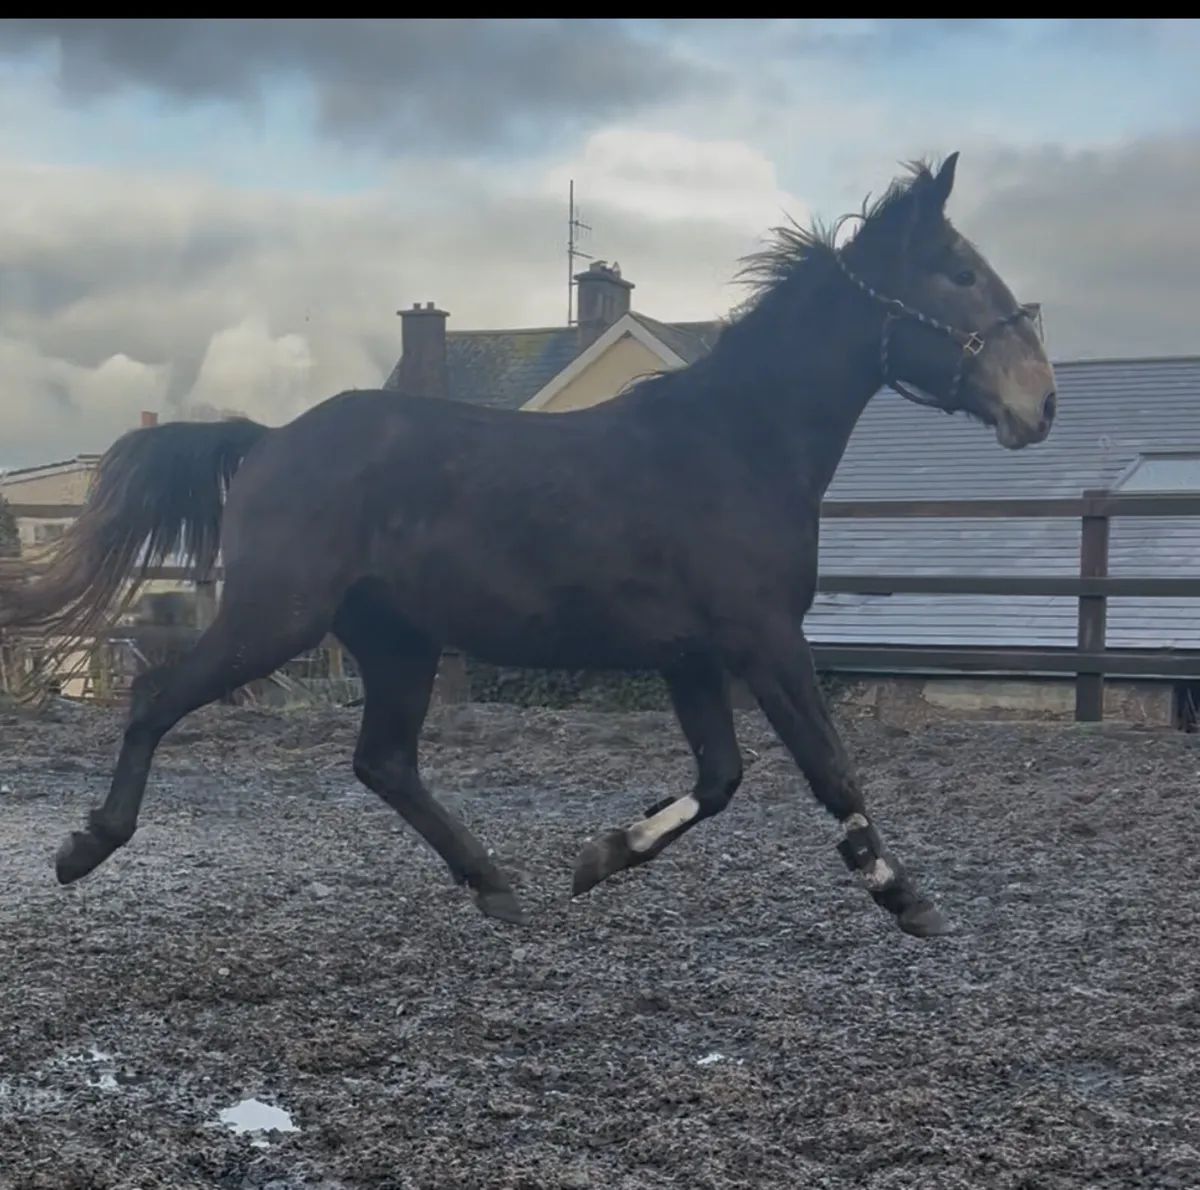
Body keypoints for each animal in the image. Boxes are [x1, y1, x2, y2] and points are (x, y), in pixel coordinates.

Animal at [0, 152, 1055, 939]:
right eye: (959, 274)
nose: (1038, 404)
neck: (739, 443)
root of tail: (265, 439)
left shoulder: (694, 655)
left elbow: (721, 779)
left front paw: (599, 859)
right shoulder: (763, 639)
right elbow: (827, 766)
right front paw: (905, 896)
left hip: (396, 640)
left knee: (383, 763)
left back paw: (496, 884)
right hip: (278, 620)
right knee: (156, 698)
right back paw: (84, 847)